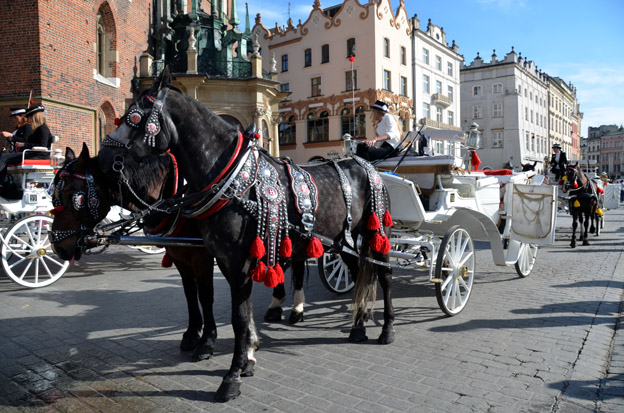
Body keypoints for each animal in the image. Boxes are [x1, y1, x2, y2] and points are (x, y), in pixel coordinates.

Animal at [57, 69, 394, 400]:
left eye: (134, 117)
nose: (60, 246)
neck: (232, 183)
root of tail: (363, 163)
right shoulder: (211, 258)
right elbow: (216, 304)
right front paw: (242, 356)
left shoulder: (230, 260)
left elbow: (234, 315)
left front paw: (230, 374)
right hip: (343, 241)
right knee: (357, 272)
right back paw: (357, 327)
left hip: (375, 232)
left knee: (384, 275)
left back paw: (386, 329)